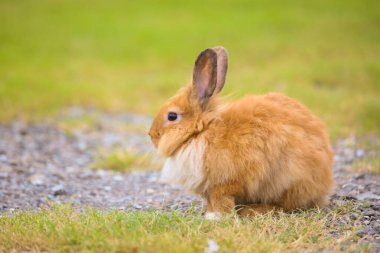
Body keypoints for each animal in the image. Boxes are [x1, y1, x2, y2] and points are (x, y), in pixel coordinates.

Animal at [148, 47, 332, 219]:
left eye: (172, 116)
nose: (151, 135)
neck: (201, 133)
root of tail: (324, 183)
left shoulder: (226, 183)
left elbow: (221, 200)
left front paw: (215, 217)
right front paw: (210, 214)